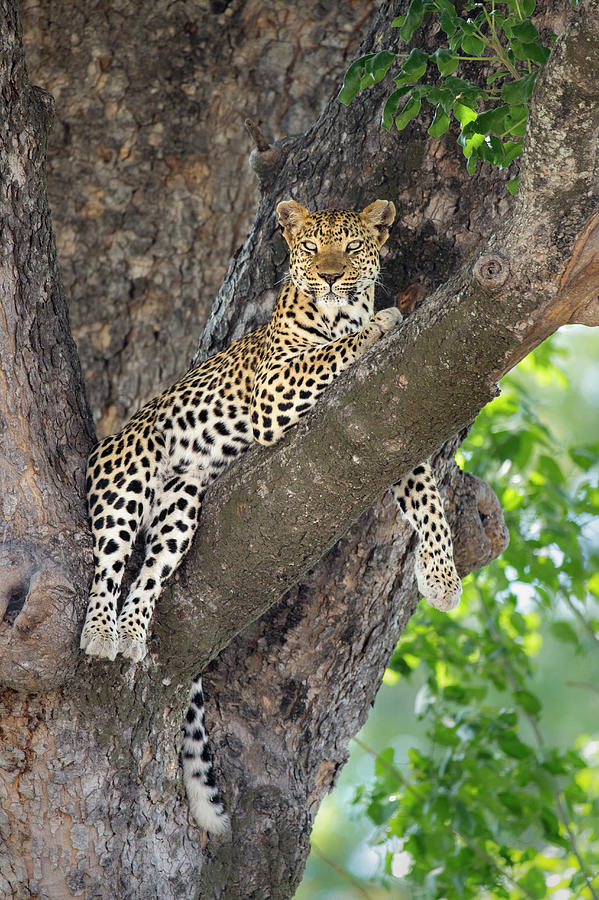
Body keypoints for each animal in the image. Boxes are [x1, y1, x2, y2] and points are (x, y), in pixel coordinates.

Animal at [79, 200, 464, 832]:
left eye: (351, 247)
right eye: (310, 248)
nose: (330, 277)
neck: (338, 312)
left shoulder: (391, 416)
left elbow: (425, 494)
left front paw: (441, 576)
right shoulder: (276, 385)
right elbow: (332, 352)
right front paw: (381, 322)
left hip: (183, 500)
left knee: (151, 569)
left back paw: (133, 632)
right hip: (129, 473)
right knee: (110, 558)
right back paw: (101, 632)